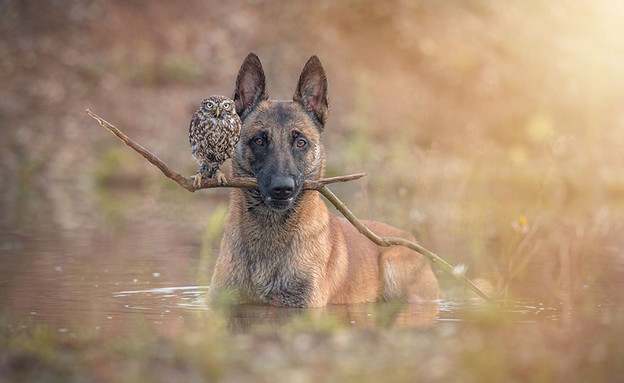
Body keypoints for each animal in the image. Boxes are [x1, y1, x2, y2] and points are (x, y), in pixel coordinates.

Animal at [206, 53, 438, 308]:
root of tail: (409, 237)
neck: (269, 233)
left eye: (301, 142)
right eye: (259, 140)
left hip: (393, 266)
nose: (282, 189)